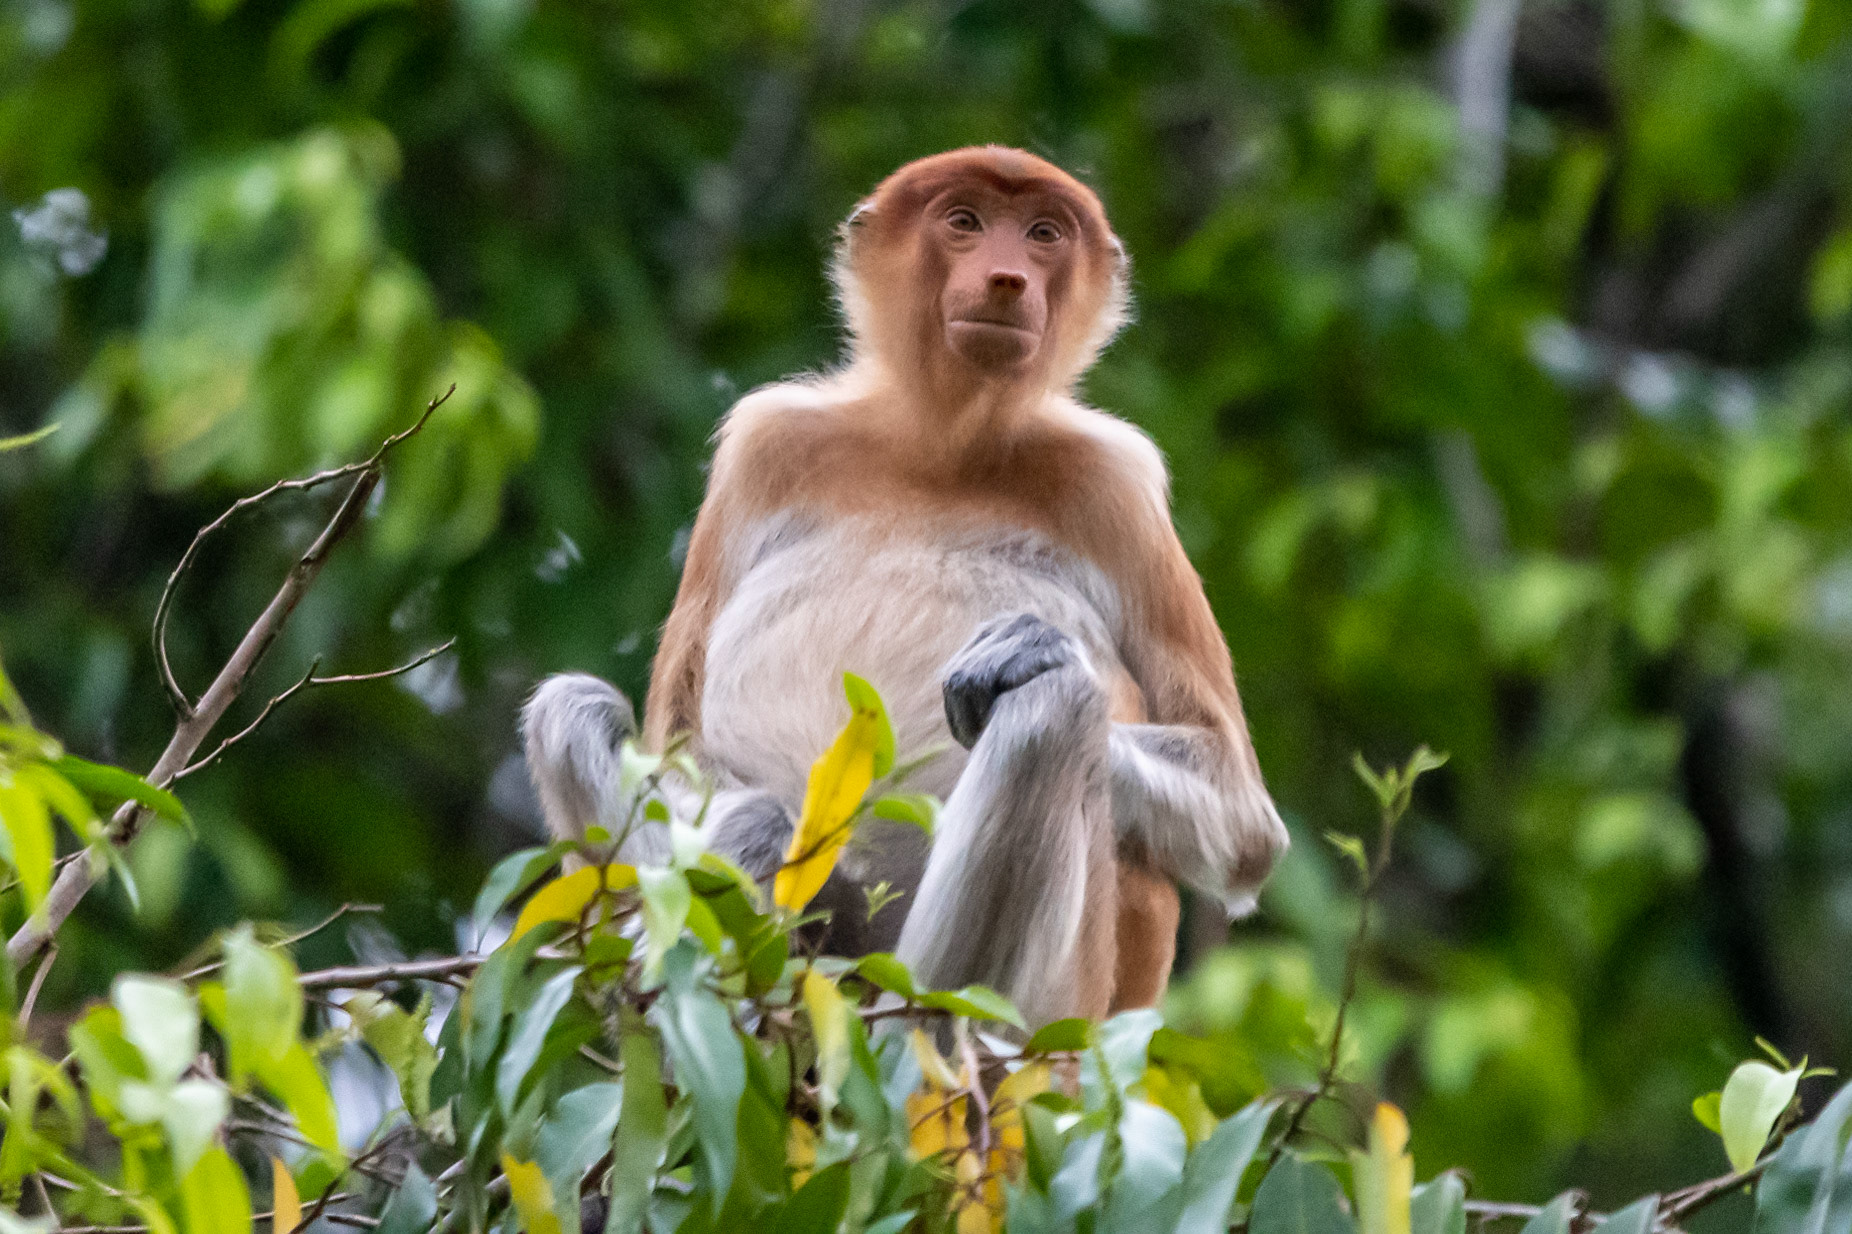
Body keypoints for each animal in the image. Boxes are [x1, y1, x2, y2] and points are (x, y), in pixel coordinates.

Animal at [523, 146, 1287, 1027]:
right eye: (964, 223)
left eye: (1044, 234)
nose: (1007, 279)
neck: (941, 445)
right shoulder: (766, 444)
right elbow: (684, 747)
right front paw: (755, 834)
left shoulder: (1118, 484)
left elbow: (1241, 819)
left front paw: (1028, 648)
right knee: (568, 706)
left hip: (1065, 998)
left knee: (1053, 711)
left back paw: (929, 1019)